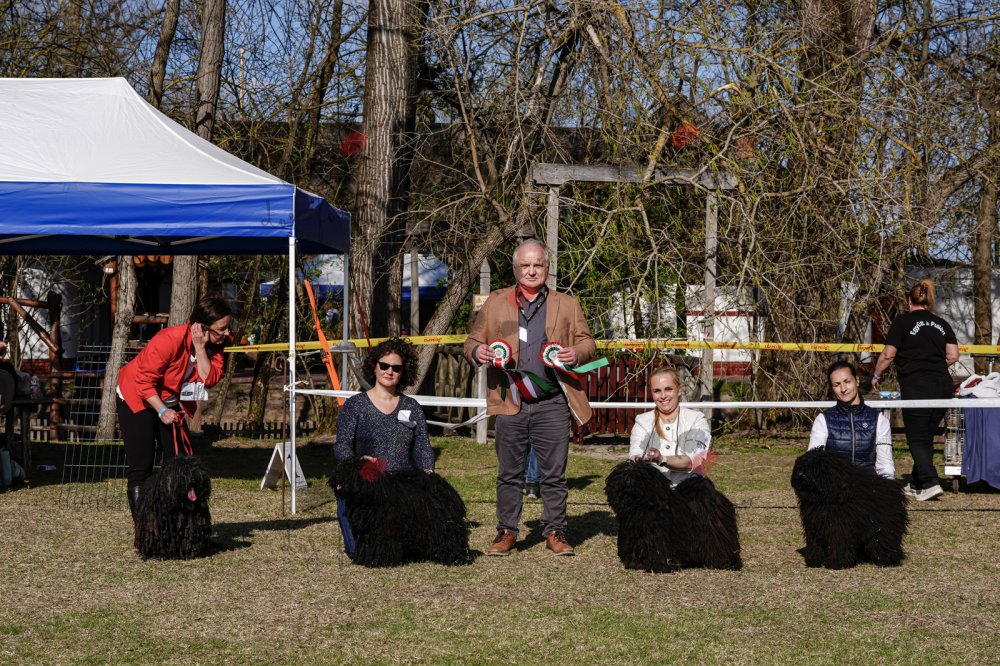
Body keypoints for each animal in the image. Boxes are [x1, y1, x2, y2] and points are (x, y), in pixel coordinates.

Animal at [330, 457, 471, 567]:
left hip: (445, 525)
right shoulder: (366, 532)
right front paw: (365, 559)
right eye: (340, 468)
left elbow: (382, 544)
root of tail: (444, 488)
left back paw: (456, 558)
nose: (336, 477)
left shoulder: (383, 530)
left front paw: (379, 561)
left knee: (453, 538)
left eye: (351, 470)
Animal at [605, 461, 742, 572]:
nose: (627, 482)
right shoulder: (634, 537)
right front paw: (635, 564)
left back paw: (727, 563)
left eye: (639, 476)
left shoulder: (659, 538)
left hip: (716, 532)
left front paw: (660, 567)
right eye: (623, 475)